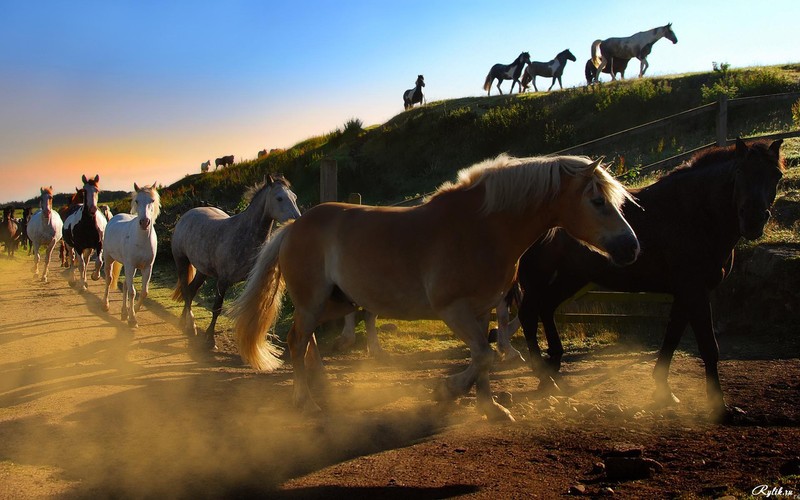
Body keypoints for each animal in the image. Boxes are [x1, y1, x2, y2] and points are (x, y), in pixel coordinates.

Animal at [102, 184, 160, 328]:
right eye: (137, 201)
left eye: (152, 200)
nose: (144, 222)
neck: (142, 240)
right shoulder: (130, 266)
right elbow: (133, 291)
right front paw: (132, 319)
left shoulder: (147, 268)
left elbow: (143, 292)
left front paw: (133, 311)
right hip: (109, 259)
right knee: (109, 279)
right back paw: (105, 304)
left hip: (129, 267)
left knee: (126, 285)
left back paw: (124, 312)